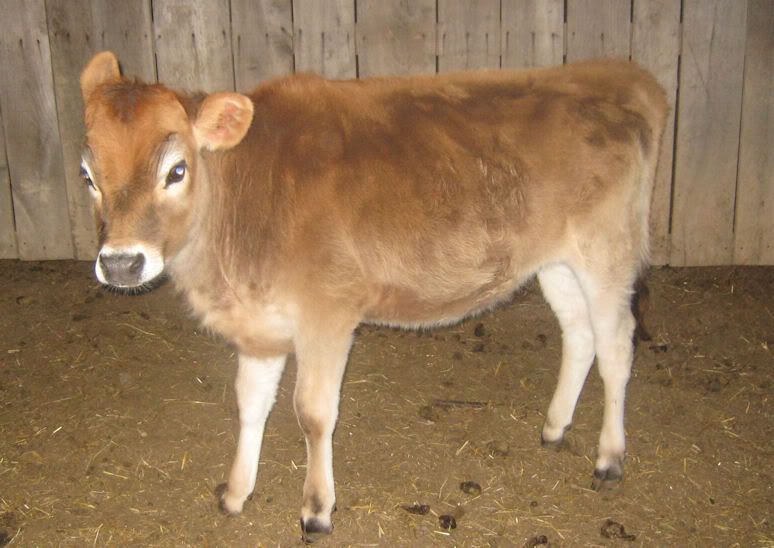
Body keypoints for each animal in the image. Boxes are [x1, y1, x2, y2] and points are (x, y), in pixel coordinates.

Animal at [79, 51, 668, 540]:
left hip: (606, 250)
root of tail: (616, 74)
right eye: (87, 175)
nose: (122, 262)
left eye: (176, 170)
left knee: (617, 345)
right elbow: (250, 402)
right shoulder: (260, 325)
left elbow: (313, 412)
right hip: (556, 261)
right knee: (580, 334)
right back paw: (554, 427)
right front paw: (236, 492)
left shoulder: (327, 313)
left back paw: (609, 458)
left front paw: (317, 510)